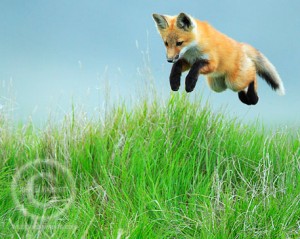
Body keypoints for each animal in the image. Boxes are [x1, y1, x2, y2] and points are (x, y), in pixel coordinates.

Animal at [154, 12, 284, 105]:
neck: (192, 50)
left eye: (179, 43)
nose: (169, 59)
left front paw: (190, 83)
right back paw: (245, 97)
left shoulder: (211, 63)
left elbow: (196, 67)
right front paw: (174, 82)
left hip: (234, 81)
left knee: (253, 74)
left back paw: (253, 98)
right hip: (217, 86)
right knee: (242, 85)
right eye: (166, 43)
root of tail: (241, 45)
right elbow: (176, 67)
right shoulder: (187, 60)